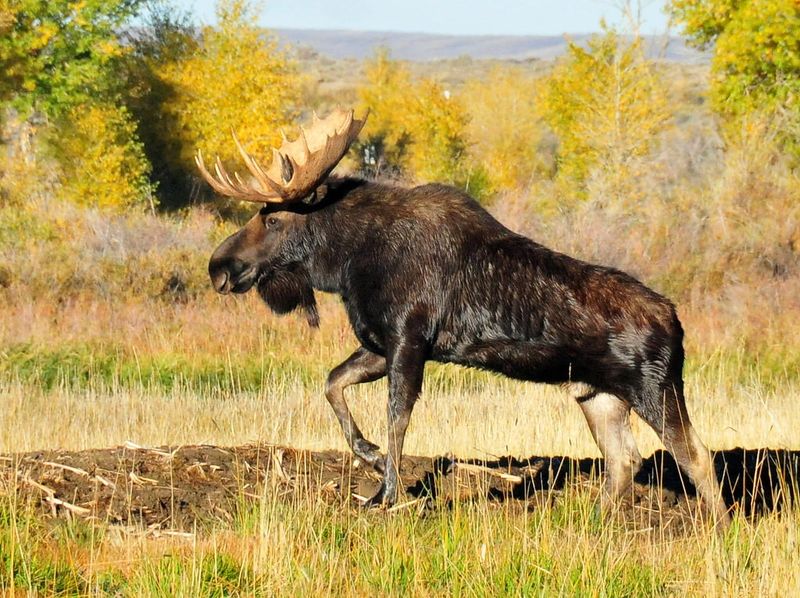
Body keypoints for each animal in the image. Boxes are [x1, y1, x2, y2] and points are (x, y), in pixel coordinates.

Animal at [197, 107, 730, 528]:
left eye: (273, 218)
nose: (218, 267)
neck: (347, 263)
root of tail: (676, 319)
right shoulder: (379, 343)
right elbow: (333, 384)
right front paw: (369, 457)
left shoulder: (408, 339)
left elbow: (397, 418)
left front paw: (387, 495)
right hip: (596, 393)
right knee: (624, 460)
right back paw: (593, 525)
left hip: (655, 387)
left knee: (696, 455)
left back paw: (722, 531)